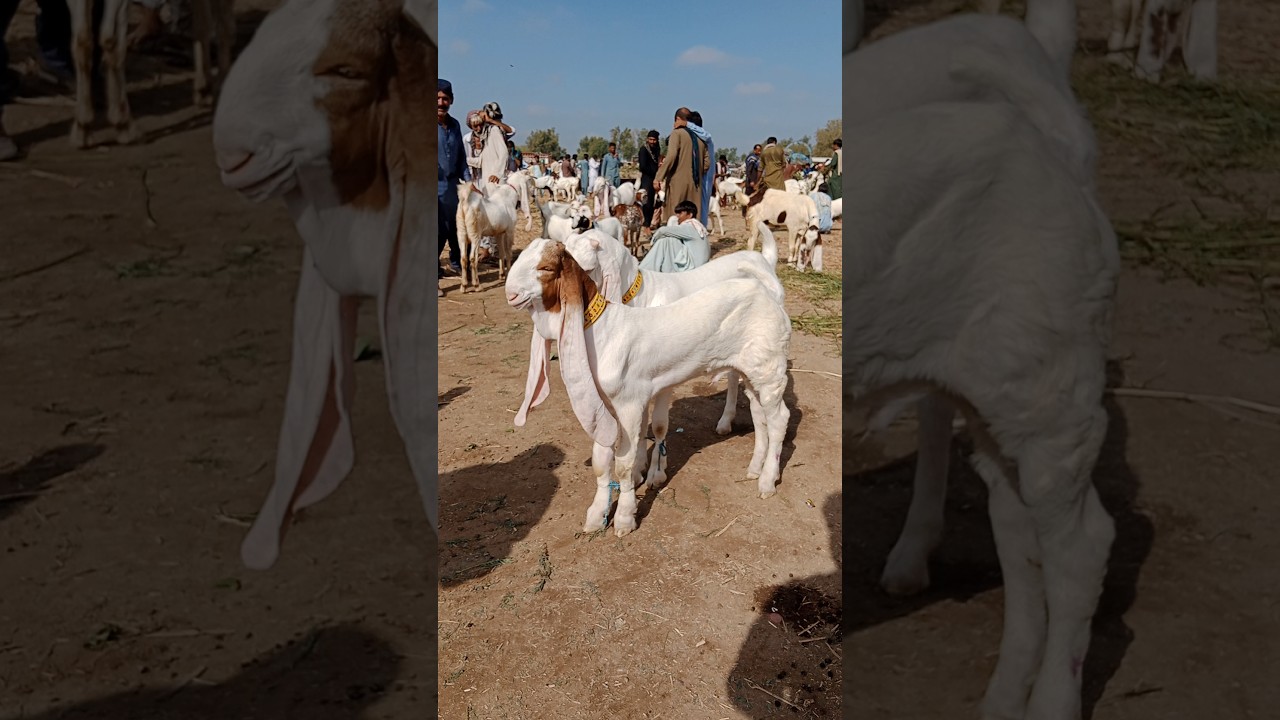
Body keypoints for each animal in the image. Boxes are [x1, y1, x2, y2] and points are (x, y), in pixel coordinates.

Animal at [505, 237, 792, 536]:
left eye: (546, 268)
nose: (511, 294)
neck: (605, 330)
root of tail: (767, 294)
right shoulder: (604, 406)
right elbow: (601, 462)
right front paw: (596, 516)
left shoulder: (630, 404)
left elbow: (624, 464)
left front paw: (624, 518)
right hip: (753, 368)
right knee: (760, 415)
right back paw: (755, 468)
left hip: (771, 366)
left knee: (779, 418)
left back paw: (767, 481)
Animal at [844, 98, 1120, 718]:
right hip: (995, 391)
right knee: (1018, 530)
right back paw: (1004, 697)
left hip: (1046, 380)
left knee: (1080, 547)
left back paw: (1052, 703)